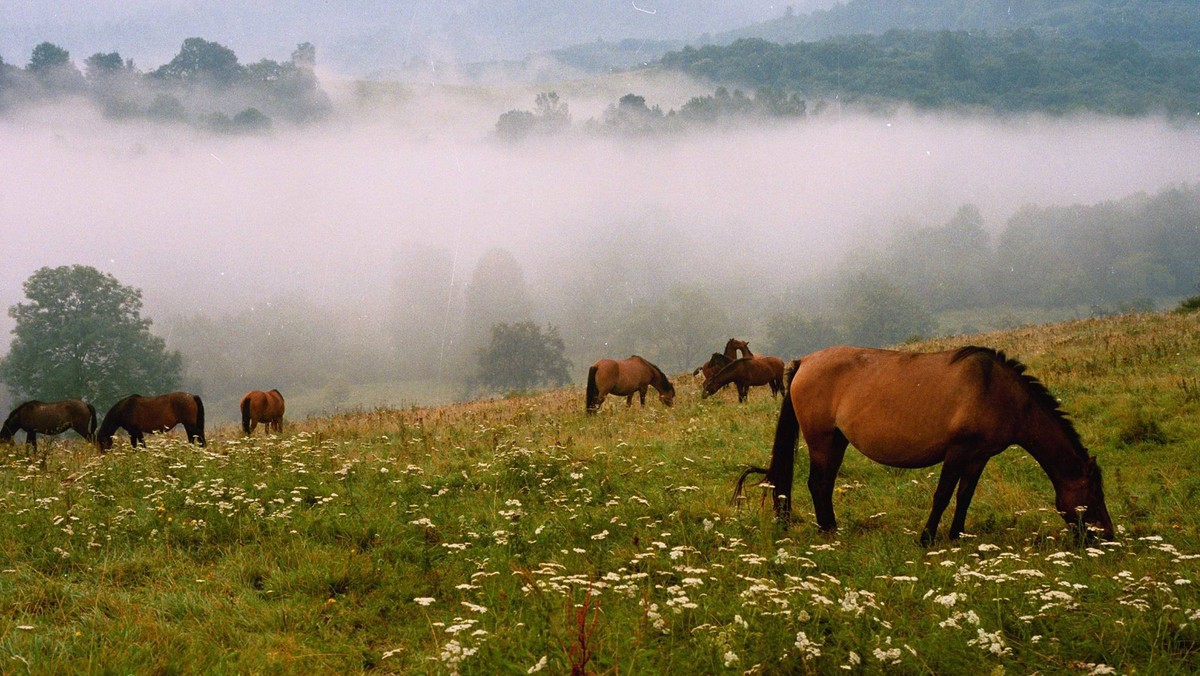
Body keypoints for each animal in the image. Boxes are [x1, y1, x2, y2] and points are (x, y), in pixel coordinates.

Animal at [729, 345, 1113, 547]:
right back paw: (829, 531)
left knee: (822, 485)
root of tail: (805, 362)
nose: (1108, 537)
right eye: (1094, 494)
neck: (997, 392)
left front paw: (956, 535)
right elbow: (942, 496)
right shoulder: (957, 452)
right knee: (817, 484)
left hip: (837, 440)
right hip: (822, 440)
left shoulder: (978, 457)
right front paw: (927, 538)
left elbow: (964, 497)